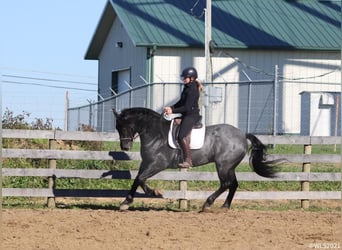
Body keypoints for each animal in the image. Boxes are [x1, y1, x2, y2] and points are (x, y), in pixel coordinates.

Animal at [113, 107, 280, 211]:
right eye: (117, 128)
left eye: (124, 127)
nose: (125, 147)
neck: (156, 134)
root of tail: (242, 135)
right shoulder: (147, 163)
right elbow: (137, 179)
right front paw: (125, 202)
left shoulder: (157, 164)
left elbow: (141, 179)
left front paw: (155, 193)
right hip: (229, 167)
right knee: (233, 184)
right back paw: (224, 206)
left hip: (223, 165)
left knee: (226, 184)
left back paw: (207, 203)